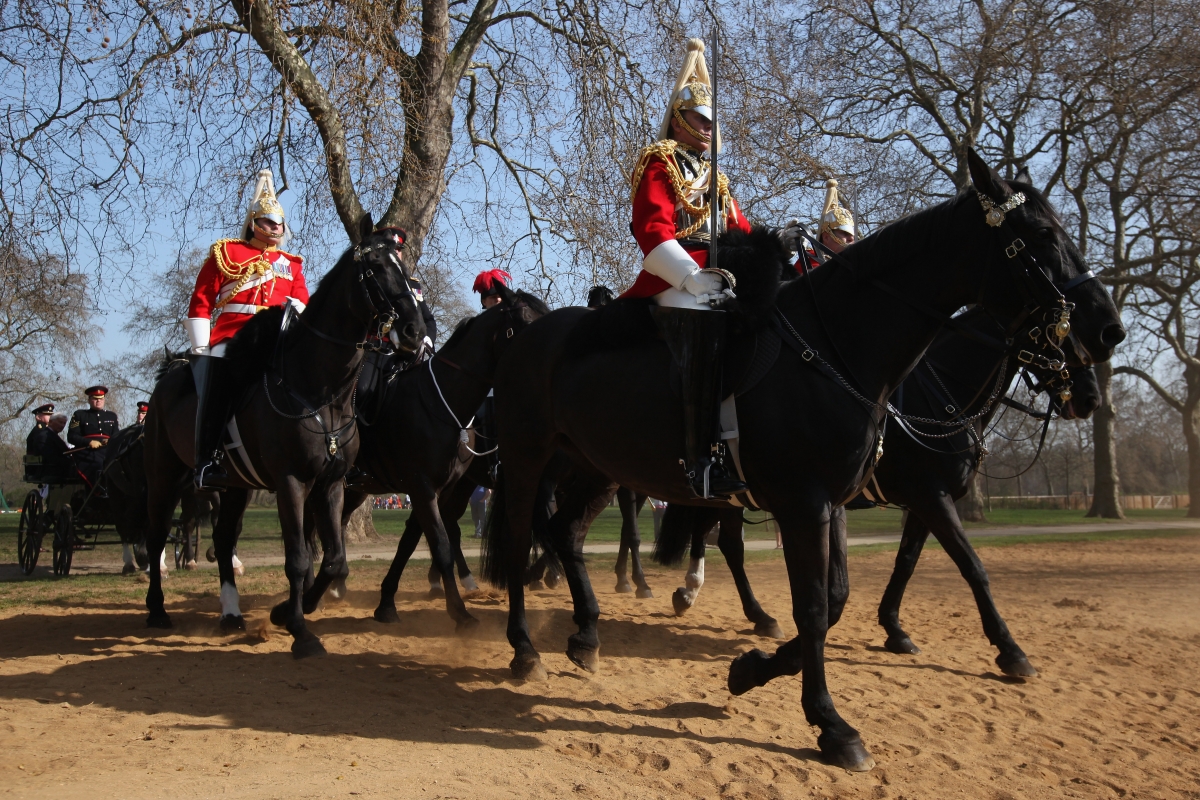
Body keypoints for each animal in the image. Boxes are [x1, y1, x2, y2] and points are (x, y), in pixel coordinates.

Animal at [141, 219, 427, 657]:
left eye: (406, 270)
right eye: (376, 267)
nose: (414, 331)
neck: (321, 392)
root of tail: (169, 375)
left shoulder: (330, 484)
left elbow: (334, 559)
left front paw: (292, 610)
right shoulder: (291, 482)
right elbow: (297, 559)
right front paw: (299, 630)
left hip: (236, 486)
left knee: (223, 538)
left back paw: (230, 612)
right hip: (164, 476)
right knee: (157, 535)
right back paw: (157, 610)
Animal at [480, 149, 1123, 767]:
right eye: (1040, 234)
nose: (1107, 332)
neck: (842, 345)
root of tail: (530, 336)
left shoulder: (842, 503)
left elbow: (848, 594)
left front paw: (752, 670)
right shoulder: (824, 502)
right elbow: (832, 603)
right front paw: (832, 724)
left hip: (599, 470)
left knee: (567, 532)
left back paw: (588, 634)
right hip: (529, 460)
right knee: (520, 539)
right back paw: (525, 647)